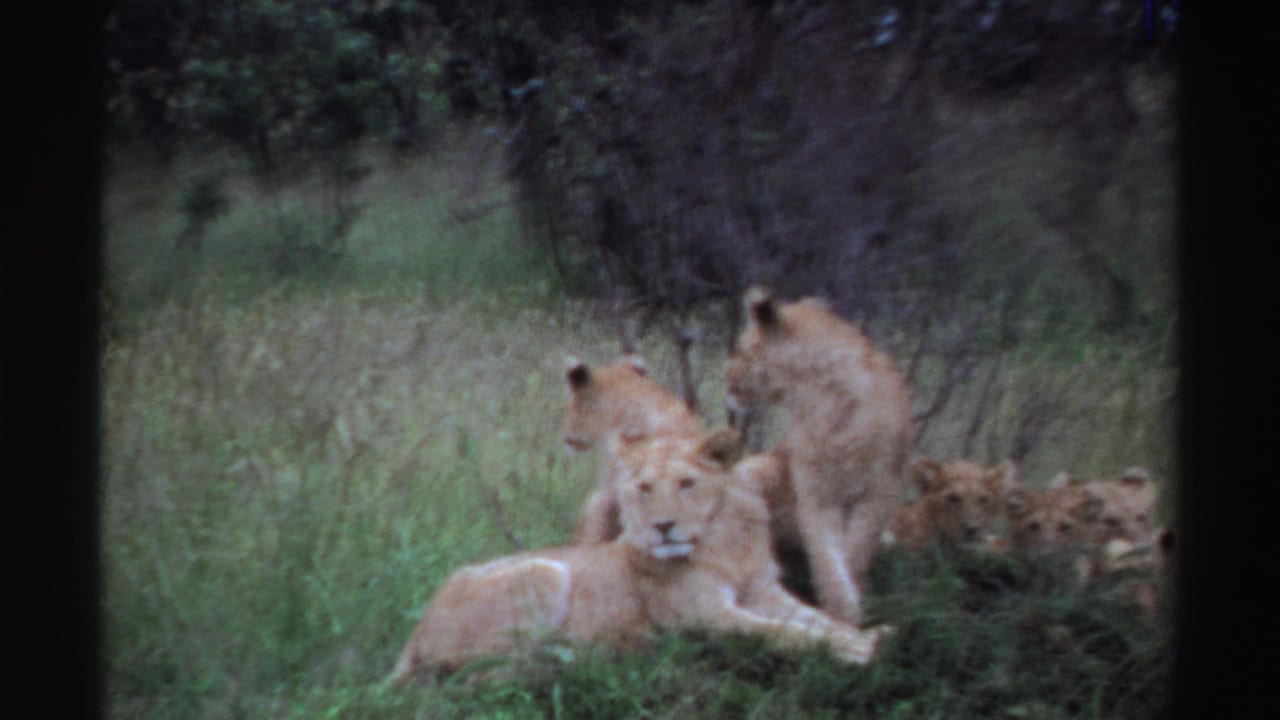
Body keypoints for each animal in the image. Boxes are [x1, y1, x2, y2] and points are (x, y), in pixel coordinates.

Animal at [389, 430, 889, 683]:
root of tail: (414, 635)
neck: (723, 541)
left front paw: (871, 634)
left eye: (686, 483)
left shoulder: (763, 591)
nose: (662, 526)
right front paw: (858, 650)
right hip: (544, 571)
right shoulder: (706, 617)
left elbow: (817, 619)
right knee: (489, 671)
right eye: (645, 488)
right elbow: (785, 633)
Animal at [724, 287, 913, 626]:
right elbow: (827, 558)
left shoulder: (880, 491)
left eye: (742, 350)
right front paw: (841, 611)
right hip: (755, 472)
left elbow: (854, 553)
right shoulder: (816, 493)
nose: (725, 382)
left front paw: (849, 610)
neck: (822, 399)